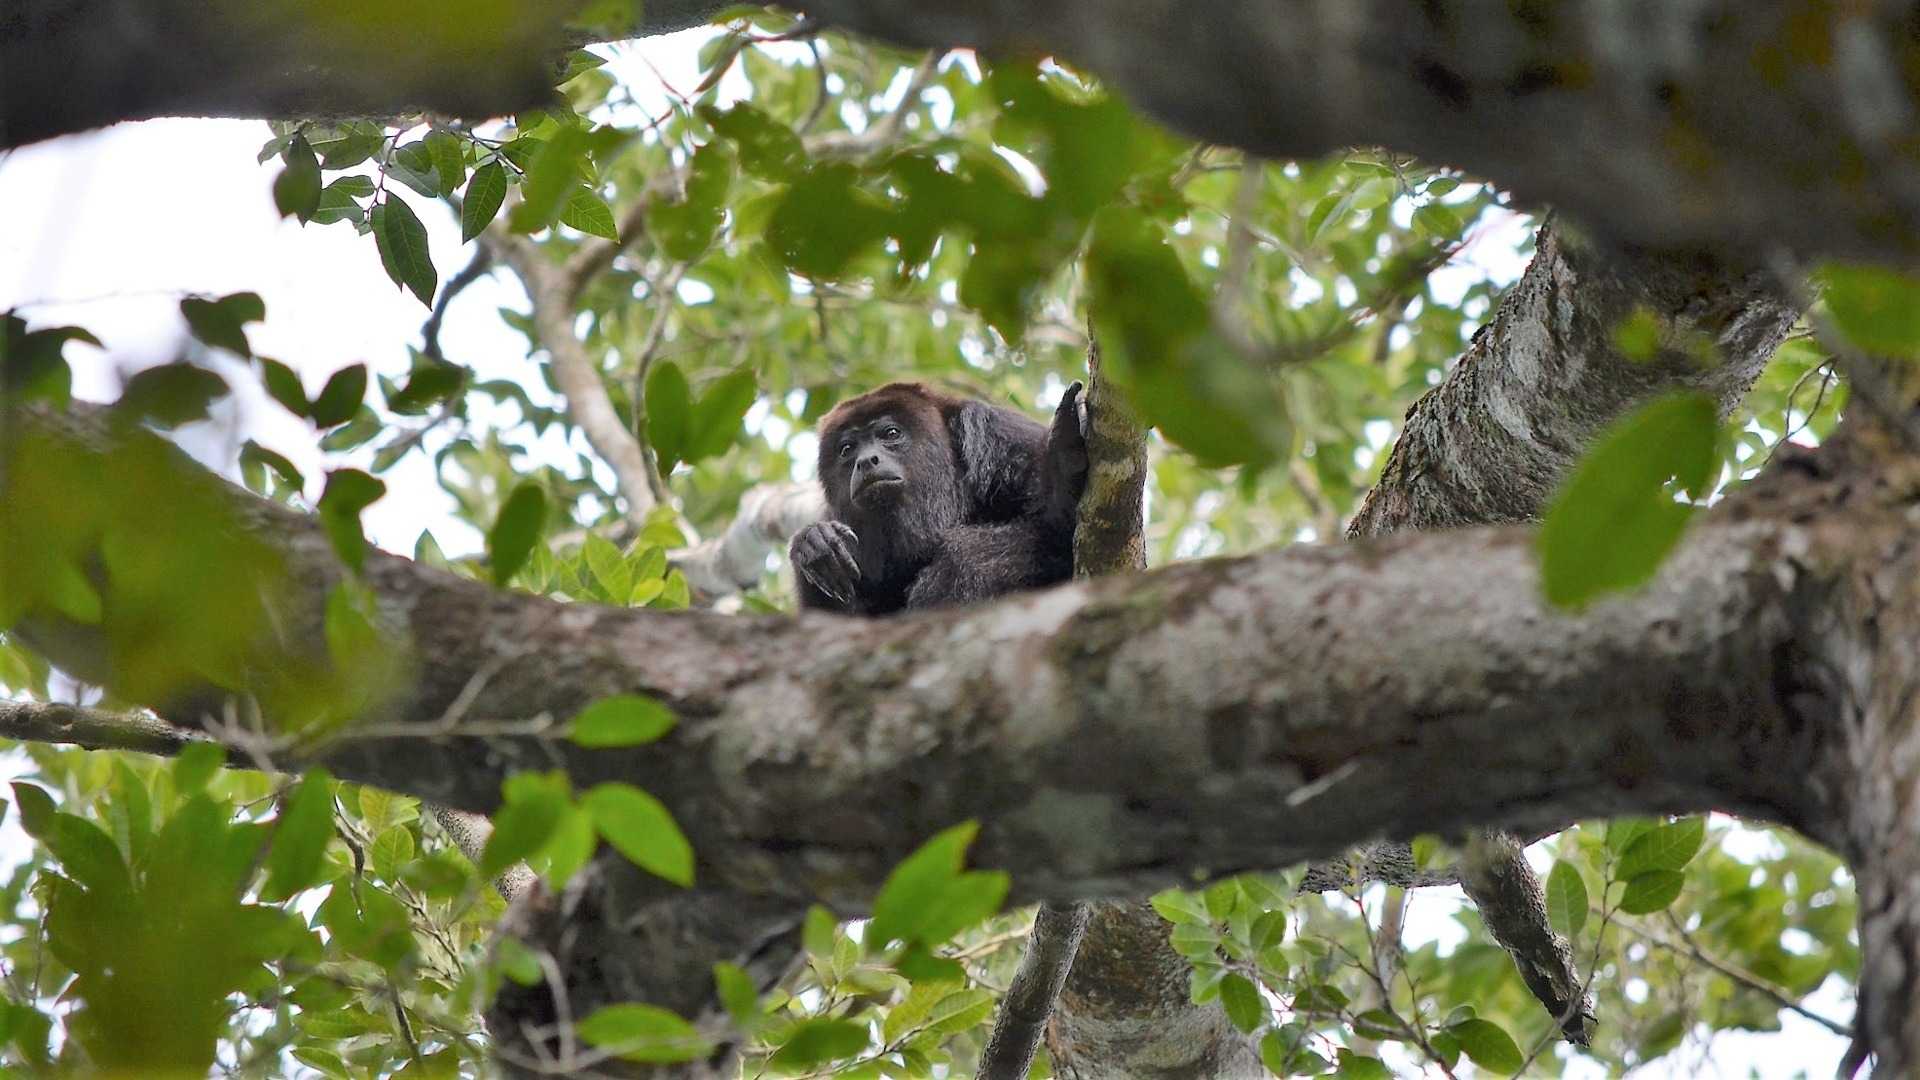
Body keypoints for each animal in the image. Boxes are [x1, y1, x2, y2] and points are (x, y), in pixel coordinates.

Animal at [787, 382, 1090, 611]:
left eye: (891, 433)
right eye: (847, 449)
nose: (865, 461)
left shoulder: (999, 436)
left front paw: (1064, 459)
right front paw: (815, 542)